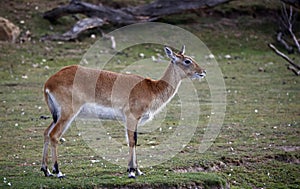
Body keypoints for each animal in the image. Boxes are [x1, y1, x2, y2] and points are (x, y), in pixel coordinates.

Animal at [40, 45, 206, 179]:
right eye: (187, 61)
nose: (202, 72)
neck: (152, 88)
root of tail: (49, 82)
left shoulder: (133, 120)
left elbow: (134, 140)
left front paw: (138, 170)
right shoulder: (131, 117)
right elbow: (132, 141)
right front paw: (131, 172)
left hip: (57, 116)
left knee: (46, 133)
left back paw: (46, 170)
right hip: (68, 113)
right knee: (54, 135)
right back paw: (58, 172)